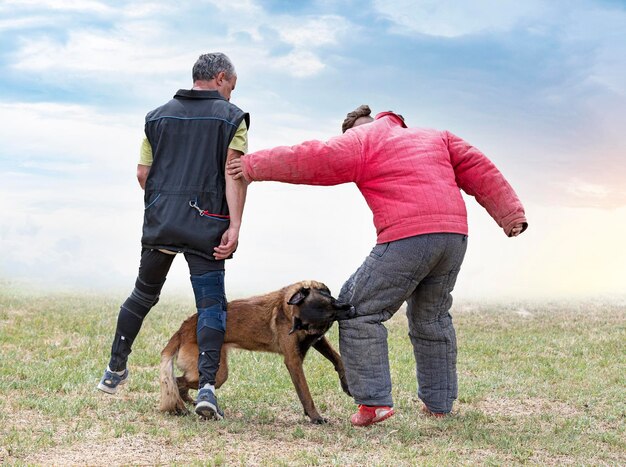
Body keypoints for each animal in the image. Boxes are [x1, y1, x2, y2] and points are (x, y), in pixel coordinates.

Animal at [158, 282, 354, 424]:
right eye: (330, 308)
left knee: (181, 382)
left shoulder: (318, 340)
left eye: (332, 302)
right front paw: (315, 417)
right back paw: (180, 405)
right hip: (219, 373)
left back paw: (189, 402)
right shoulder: (293, 361)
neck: (287, 308)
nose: (351, 309)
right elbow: (305, 392)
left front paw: (346, 383)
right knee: (176, 381)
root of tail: (183, 329)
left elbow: (338, 359)